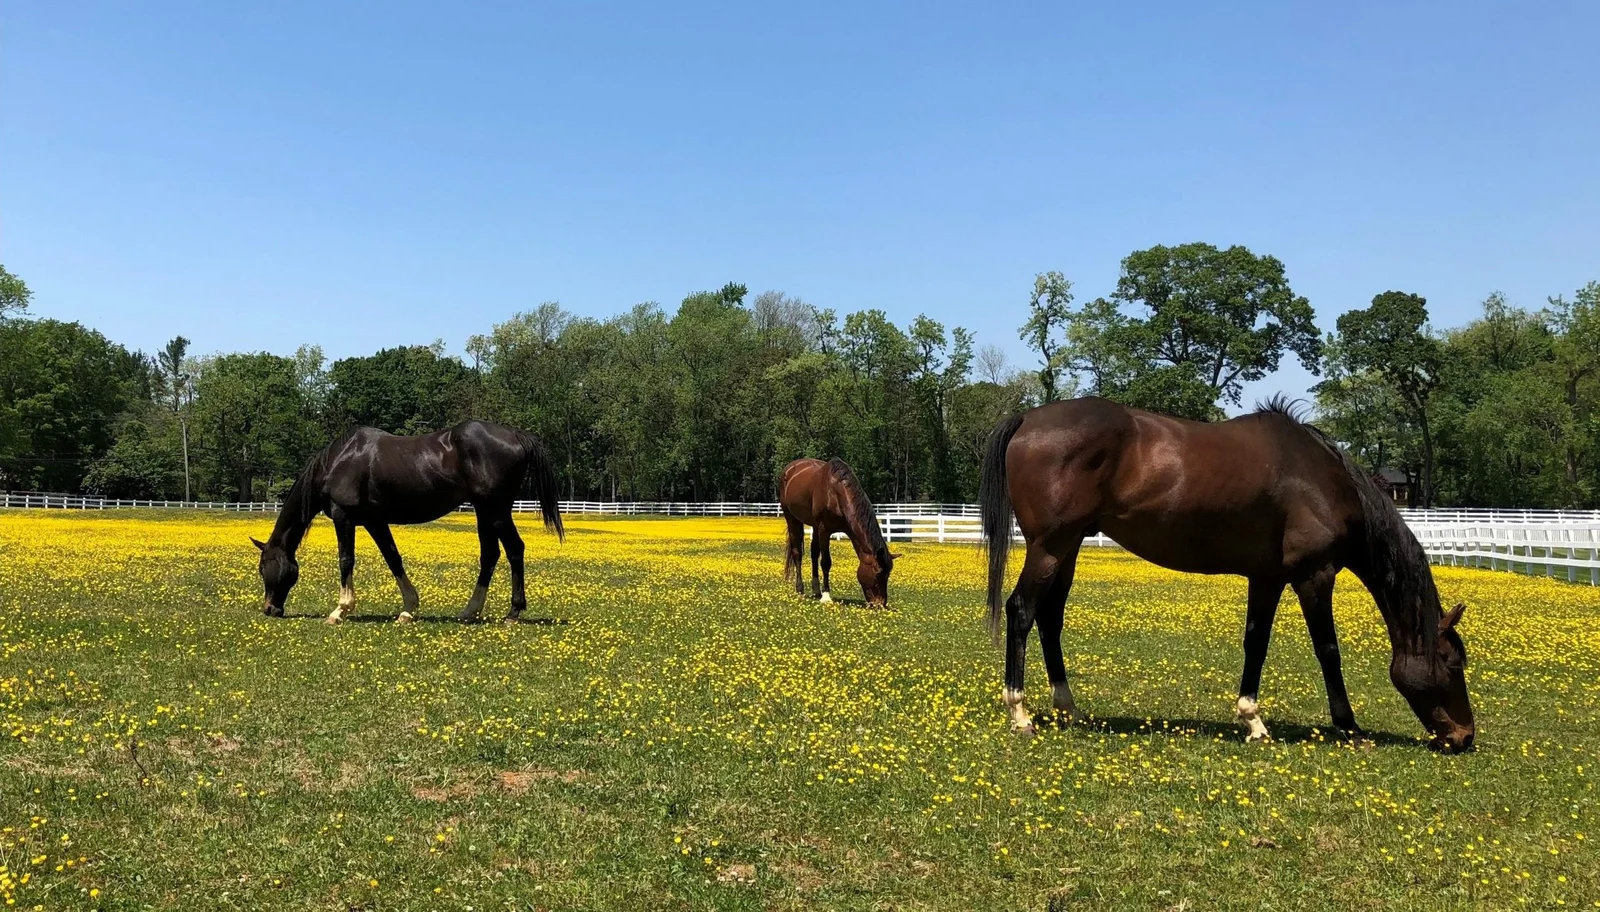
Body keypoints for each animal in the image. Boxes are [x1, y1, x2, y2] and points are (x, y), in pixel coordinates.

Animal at [252, 420, 565, 624]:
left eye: (263, 567)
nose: (270, 609)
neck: (339, 460)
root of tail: (516, 435)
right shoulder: (375, 521)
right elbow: (393, 558)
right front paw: (408, 609)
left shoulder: (345, 517)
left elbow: (346, 560)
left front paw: (340, 611)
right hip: (484, 511)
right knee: (490, 555)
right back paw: (469, 611)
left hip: (496, 511)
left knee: (514, 550)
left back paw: (513, 613)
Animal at [777, 457, 898, 606]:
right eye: (878, 573)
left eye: (888, 574)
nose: (880, 604)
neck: (836, 493)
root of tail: (789, 469)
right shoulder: (824, 530)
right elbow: (826, 562)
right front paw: (826, 596)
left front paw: (822, 593)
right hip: (791, 518)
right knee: (797, 553)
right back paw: (800, 589)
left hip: (814, 526)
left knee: (813, 554)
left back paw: (816, 590)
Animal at [979, 396, 1475, 753]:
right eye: (1452, 663)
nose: (1464, 737)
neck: (1322, 479)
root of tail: (1027, 419)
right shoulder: (1315, 576)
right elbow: (1328, 651)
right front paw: (1349, 726)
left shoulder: (1267, 578)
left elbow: (1256, 643)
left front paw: (1253, 721)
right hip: (1050, 547)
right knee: (1021, 611)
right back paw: (1020, 714)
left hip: (1068, 548)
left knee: (1050, 618)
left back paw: (1069, 710)